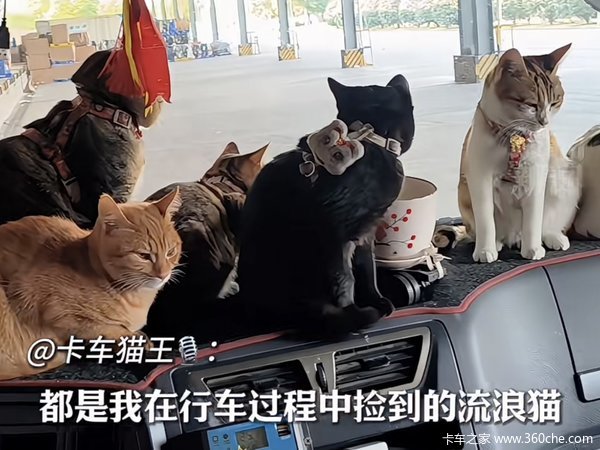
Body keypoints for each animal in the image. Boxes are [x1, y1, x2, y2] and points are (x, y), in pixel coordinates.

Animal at [0, 190, 181, 380]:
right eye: (143, 255)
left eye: (171, 252)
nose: (163, 274)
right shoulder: (49, 306)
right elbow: (106, 328)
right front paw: (135, 339)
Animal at [205, 75, 416, 341]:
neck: (368, 142)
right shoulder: (339, 231)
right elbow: (346, 279)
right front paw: (355, 312)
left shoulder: (366, 232)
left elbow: (367, 269)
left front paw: (377, 300)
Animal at [458, 44, 581, 263]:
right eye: (531, 105)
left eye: (554, 103)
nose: (544, 122)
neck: (513, 136)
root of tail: (514, 235)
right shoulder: (480, 177)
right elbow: (485, 219)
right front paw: (485, 250)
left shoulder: (536, 176)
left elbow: (534, 219)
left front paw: (532, 248)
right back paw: (497, 242)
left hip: (563, 178)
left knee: (545, 221)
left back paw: (551, 237)